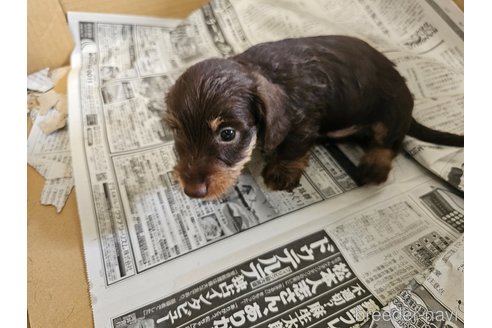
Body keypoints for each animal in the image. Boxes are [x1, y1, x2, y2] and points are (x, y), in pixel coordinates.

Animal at [163, 34, 464, 199]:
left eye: (227, 134)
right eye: (176, 131)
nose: (191, 190)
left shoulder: (304, 121)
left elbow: (292, 148)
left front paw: (281, 172)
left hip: (389, 115)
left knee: (389, 143)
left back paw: (374, 168)